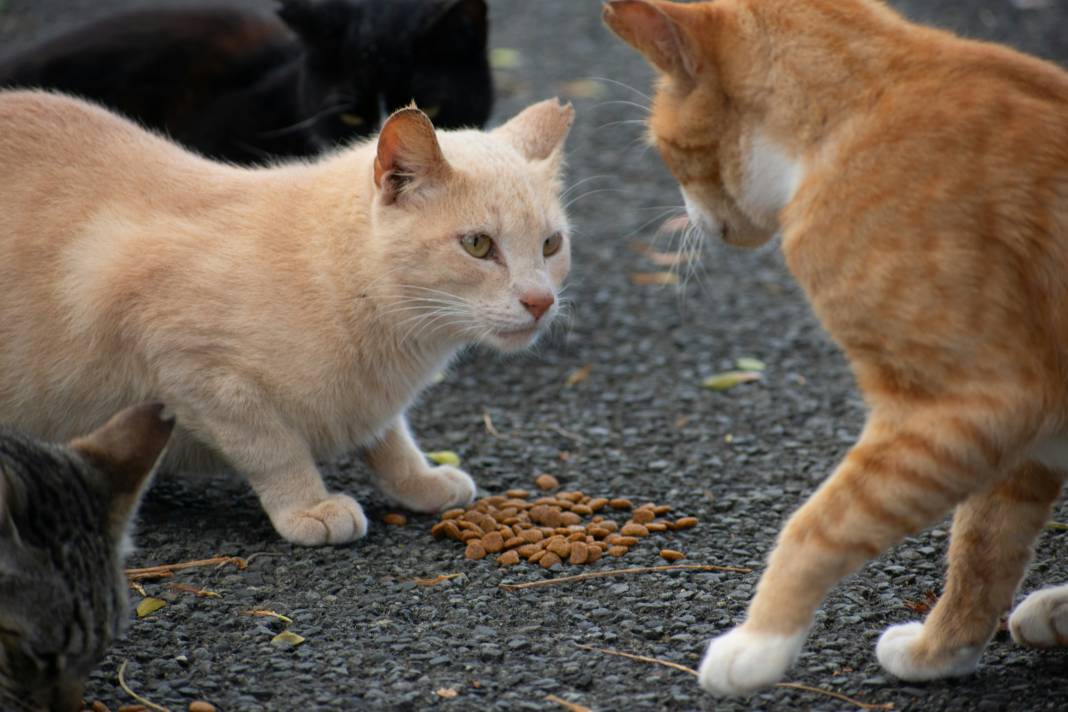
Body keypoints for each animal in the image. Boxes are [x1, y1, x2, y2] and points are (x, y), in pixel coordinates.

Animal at [0, 89, 576, 546]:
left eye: (551, 244)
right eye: (477, 245)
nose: (540, 300)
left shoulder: (369, 400)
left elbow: (389, 435)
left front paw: (420, 480)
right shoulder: (194, 370)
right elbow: (272, 447)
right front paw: (309, 506)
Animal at [606, 0, 1068, 695]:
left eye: (663, 151)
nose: (687, 222)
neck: (840, 125)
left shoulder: (968, 404)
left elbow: (819, 524)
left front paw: (758, 645)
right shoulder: (1019, 441)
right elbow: (983, 546)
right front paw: (941, 650)